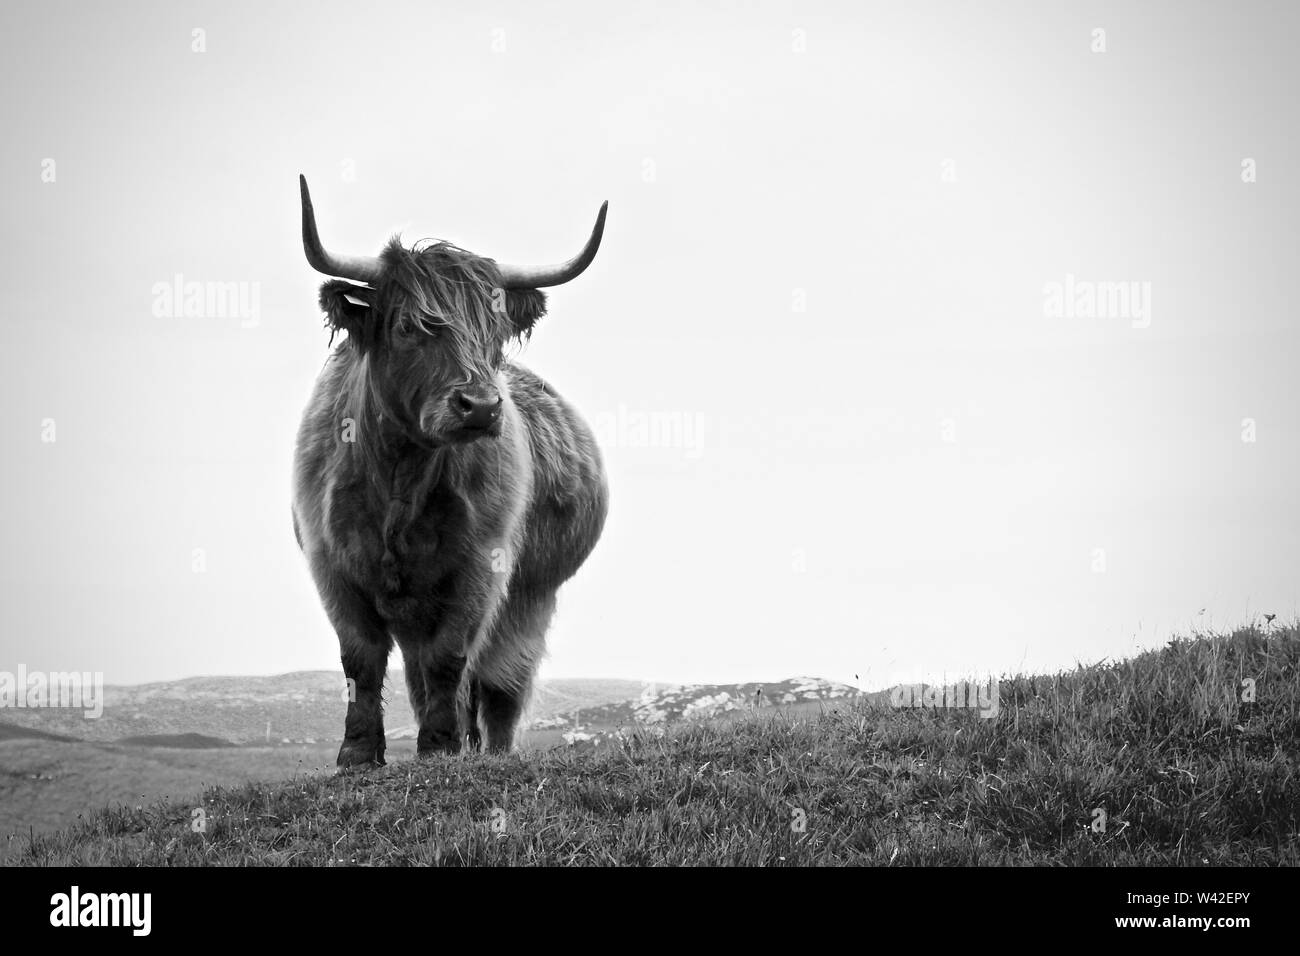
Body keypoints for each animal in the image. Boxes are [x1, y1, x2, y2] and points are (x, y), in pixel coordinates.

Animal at [292, 175, 605, 764]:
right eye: (409, 327)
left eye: (494, 332)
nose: (480, 407)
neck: (399, 477)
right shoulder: (332, 566)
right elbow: (360, 659)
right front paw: (357, 755)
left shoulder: (480, 569)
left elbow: (450, 659)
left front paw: (439, 749)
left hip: (531, 599)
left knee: (500, 685)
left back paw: (489, 750)